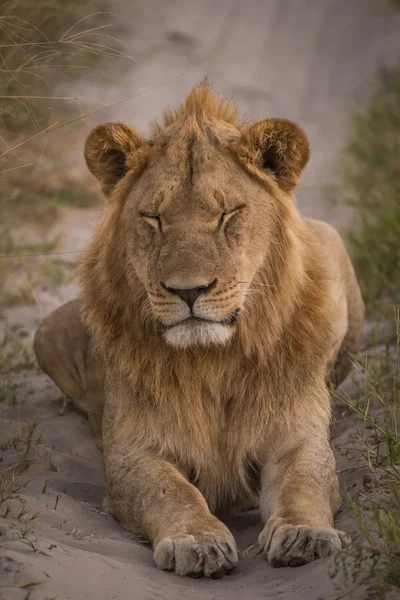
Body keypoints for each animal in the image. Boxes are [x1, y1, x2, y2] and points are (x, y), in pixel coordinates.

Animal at [35, 83, 366, 576]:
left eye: (227, 214)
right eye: (153, 218)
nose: (188, 291)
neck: (214, 359)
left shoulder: (298, 438)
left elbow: (304, 483)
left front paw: (305, 535)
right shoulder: (133, 452)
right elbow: (173, 492)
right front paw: (197, 540)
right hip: (46, 332)